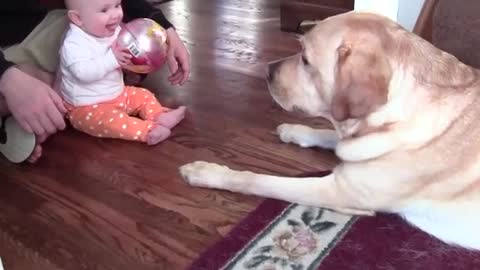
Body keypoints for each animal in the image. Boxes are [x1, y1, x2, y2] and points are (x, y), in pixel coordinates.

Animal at [179, 11, 480, 250]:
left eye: (305, 59)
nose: (267, 70)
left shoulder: (339, 190)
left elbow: (259, 180)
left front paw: (208, 173)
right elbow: (329, 136)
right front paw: (294, 130)